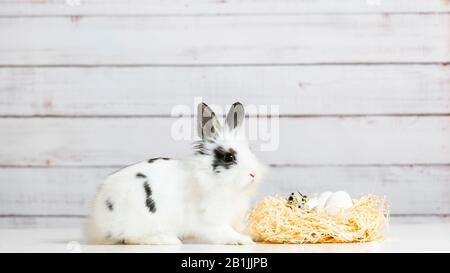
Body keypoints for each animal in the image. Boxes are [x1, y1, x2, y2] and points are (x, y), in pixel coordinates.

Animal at [86, 102, 266, 244]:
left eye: (249, 150)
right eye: (229, 157)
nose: (254, 174)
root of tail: (97, 216)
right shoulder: (210, 220)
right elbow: (224, 232)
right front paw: (242, 240)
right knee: (129, 238)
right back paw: (166, 239)